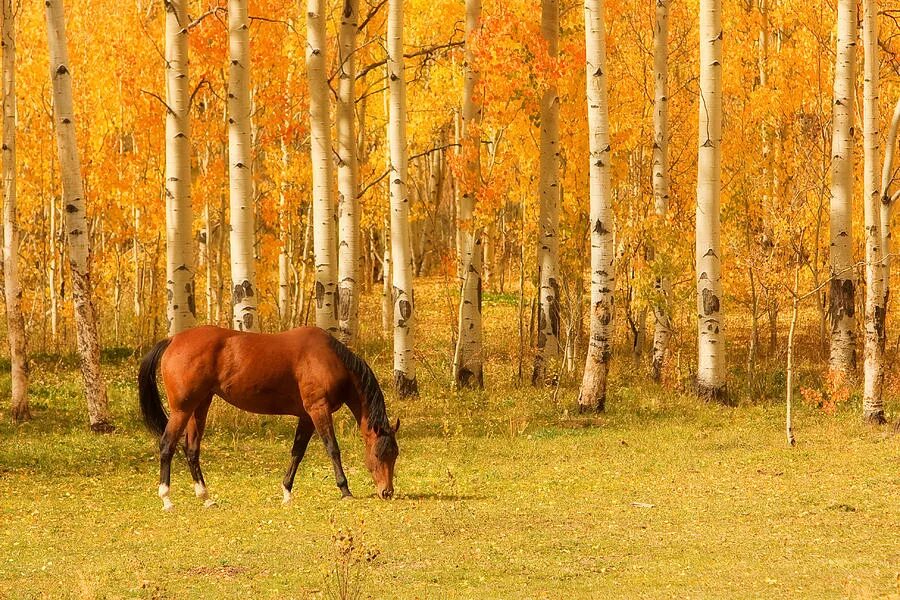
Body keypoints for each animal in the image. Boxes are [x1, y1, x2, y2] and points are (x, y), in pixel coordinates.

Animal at [137, 325, 399, 510]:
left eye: (395, 454)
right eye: (378, 454)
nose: (387, 492)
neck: (330, 359)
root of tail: (173, 340)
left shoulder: (306, 417)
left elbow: (297, 453)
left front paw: (287, 493)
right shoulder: (318, 410)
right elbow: (333, 449)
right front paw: (345, 491)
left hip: (199, 406)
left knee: (191, 449)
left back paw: (206, 498)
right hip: (182, 410)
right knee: (167, 446)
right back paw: (167, 499)